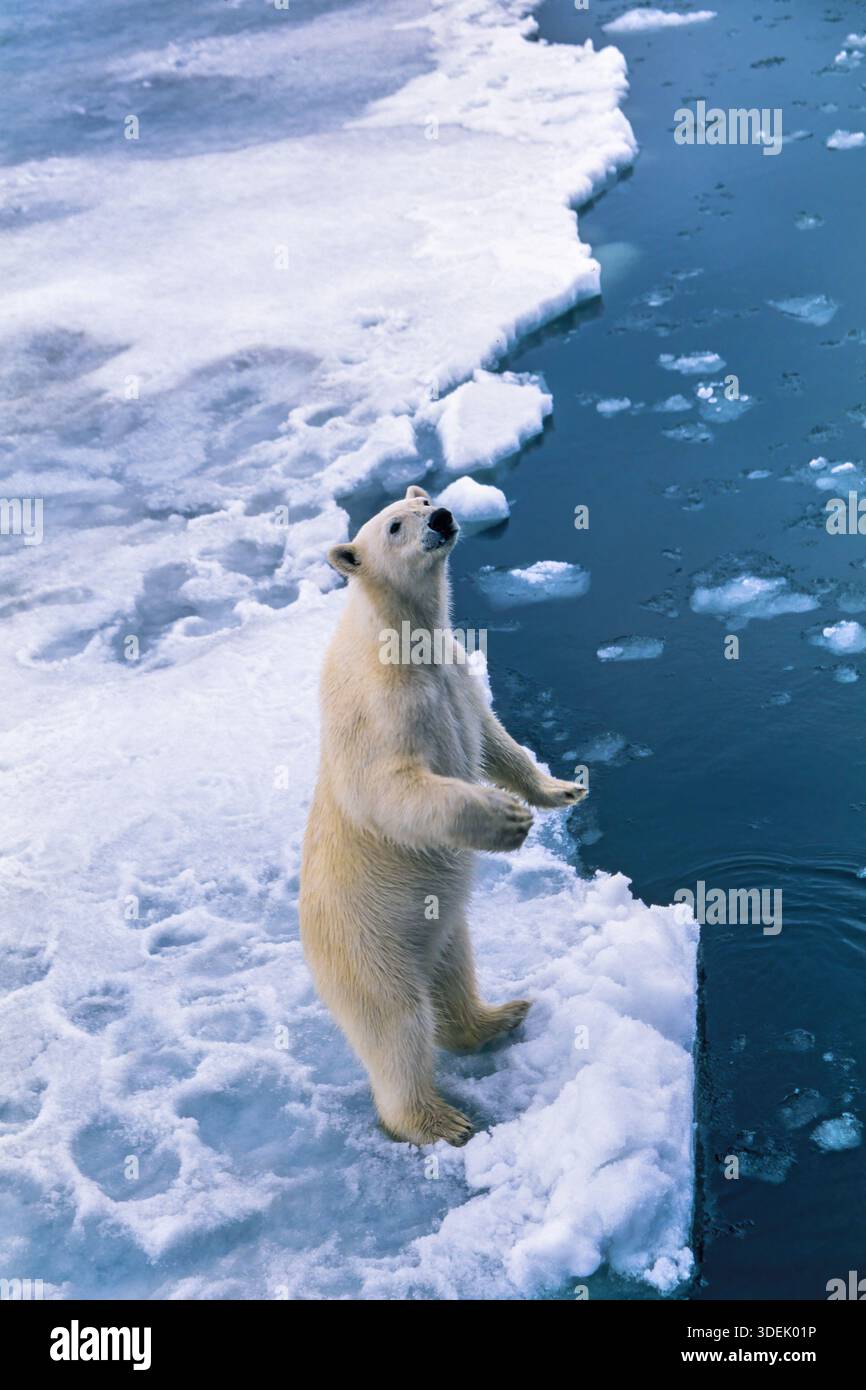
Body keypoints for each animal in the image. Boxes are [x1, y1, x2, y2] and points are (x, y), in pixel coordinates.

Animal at [299, 485, 585, 1146]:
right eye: (394, 527)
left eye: (424, 497)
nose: (443, 516)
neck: (405, 639)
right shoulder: (381, 709)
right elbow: (391, 790)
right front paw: (507, 820)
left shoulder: (456, 674)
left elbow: (492, 737)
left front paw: (561, 789)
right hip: (366, 945)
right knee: (396, 1026)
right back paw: (438, 1121)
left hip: (440, 927)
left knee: (453, 976)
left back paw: (501, 1014)